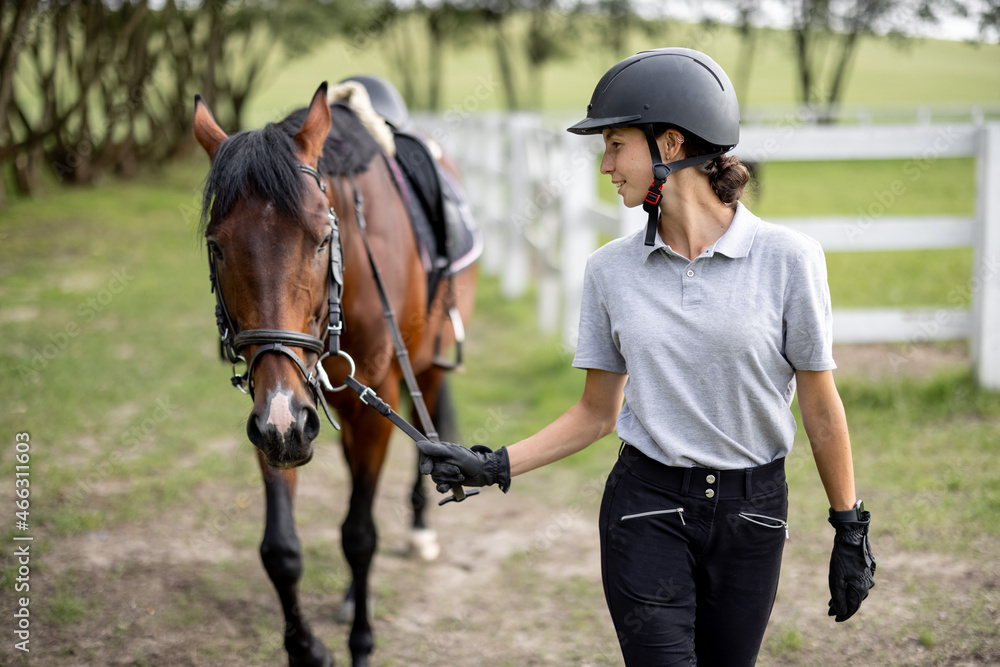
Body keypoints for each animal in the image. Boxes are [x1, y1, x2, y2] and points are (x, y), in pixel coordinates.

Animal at [192, 82, 480, 664]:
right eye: (216, 246)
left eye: (324, 238)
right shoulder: (276, 416)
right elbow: (280, 549)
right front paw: (308, 650)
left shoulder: (365, 404)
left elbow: (359, 535)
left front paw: (362, 646)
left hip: (425, 365)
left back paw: (419, 530)